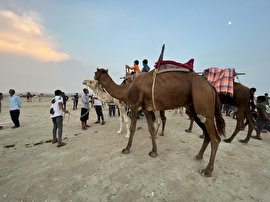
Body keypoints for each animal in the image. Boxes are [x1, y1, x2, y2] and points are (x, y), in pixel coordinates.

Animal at [94, 66, 225, 177]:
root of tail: (211, 87)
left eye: (96, 72)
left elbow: (133, 127)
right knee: (206, 133)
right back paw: (199, 156)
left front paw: (126, 149)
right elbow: (151, 129)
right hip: (194, 109)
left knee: (216, 138)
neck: (127, 90)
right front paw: (154, 151)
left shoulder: (135, 106)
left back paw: (207, 170)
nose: (94, 78)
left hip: (204, 104)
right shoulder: (146, 109)